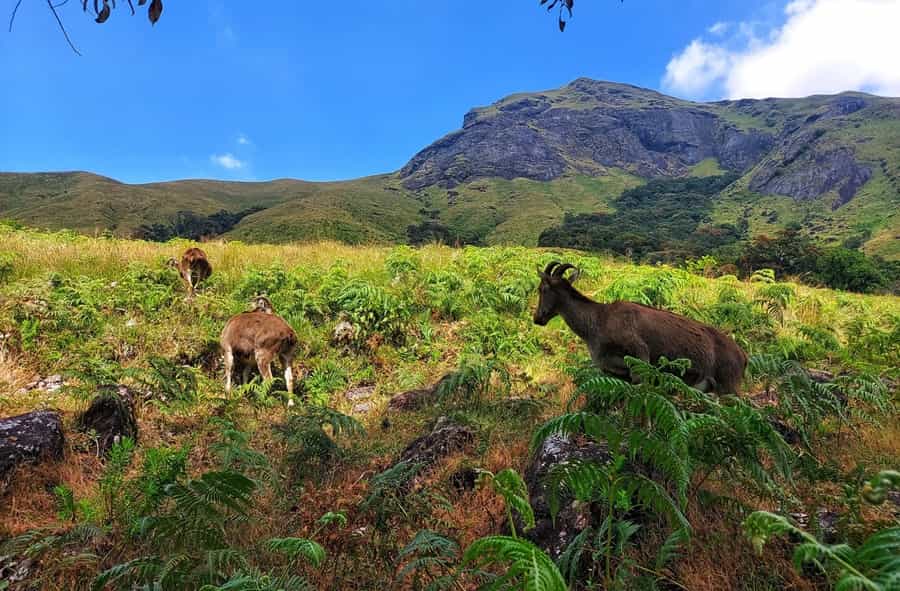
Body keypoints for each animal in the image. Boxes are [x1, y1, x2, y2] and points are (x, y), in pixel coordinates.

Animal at [536, 262, 744, 394]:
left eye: (542, 289)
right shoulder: (611, 371)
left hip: (729, 387)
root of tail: (743, 356)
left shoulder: (640, 355)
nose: (537, 318)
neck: (598, 321)